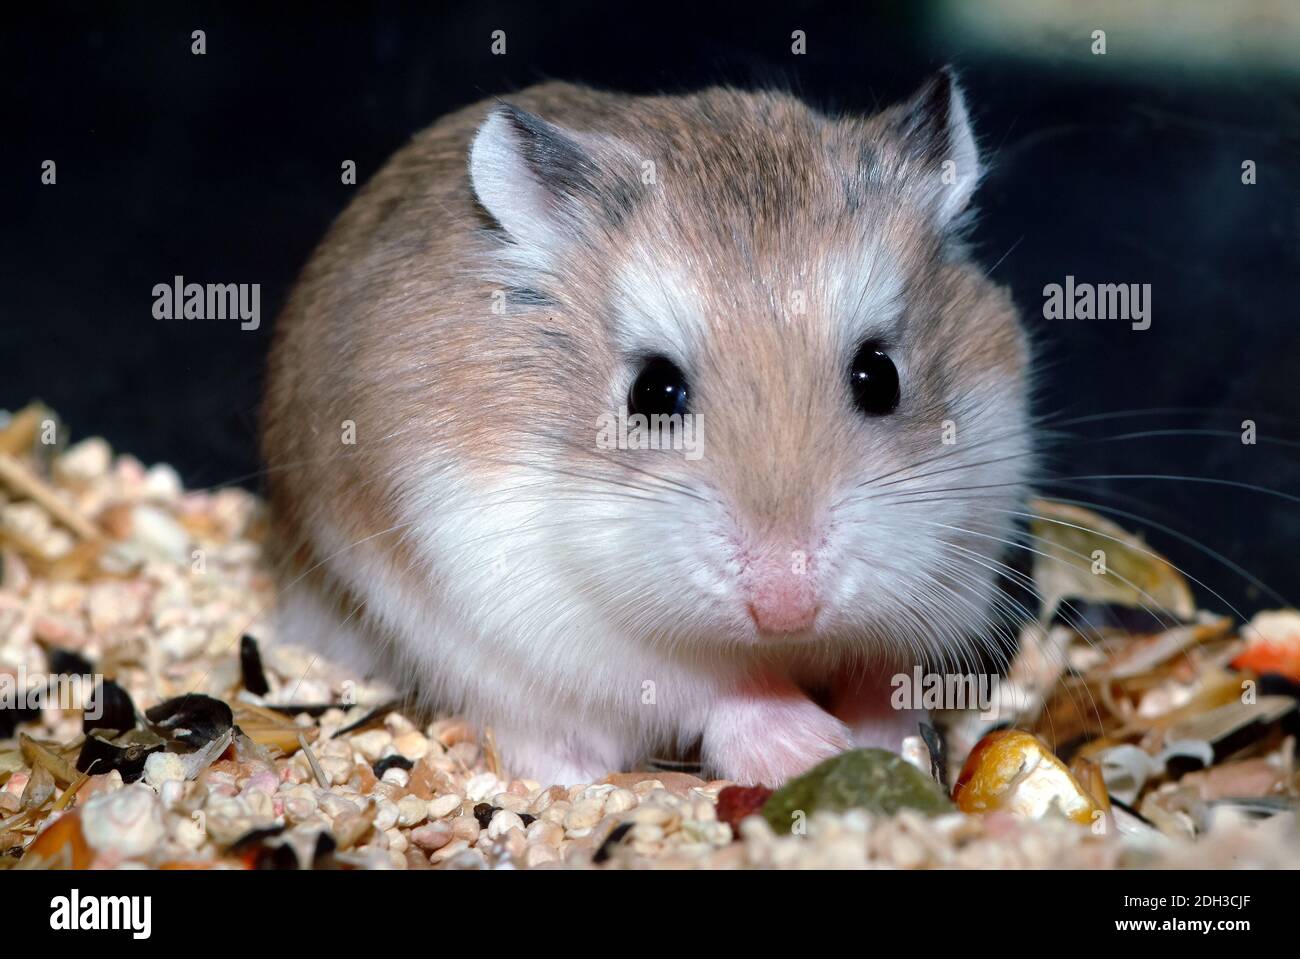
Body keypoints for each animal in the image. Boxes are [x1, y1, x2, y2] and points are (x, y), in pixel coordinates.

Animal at [261, 69, 1034, 784]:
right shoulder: (550, 610)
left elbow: (881, 667)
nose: (786, 606)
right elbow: (719, 687)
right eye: (653, 393)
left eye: (880, 376)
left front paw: (886, 736)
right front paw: (813, 747)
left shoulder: (960, 556)